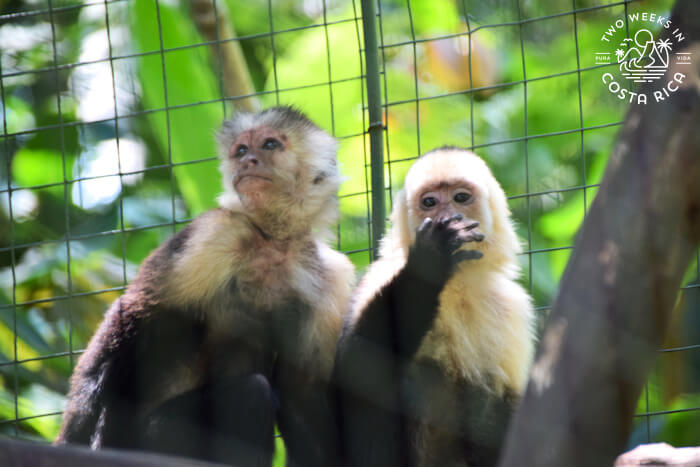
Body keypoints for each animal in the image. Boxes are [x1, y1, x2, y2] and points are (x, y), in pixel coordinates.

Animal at [55, 106, 355, 467]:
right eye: (241, 150)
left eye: (270, 144)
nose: (248, 161)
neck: (273, 242)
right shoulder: (216, 231)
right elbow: (133, 314)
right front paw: (71, 440)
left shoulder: (332, 277)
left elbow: (304, 391)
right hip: (151, 438)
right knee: (250, 392)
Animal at [334, 147, 535, 467]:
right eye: (429, 202)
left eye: (461, 197)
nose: (447, 217)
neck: (456, 281)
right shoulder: (380, 274)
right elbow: (357, 367)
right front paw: (432, 257)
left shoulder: (512, 305)